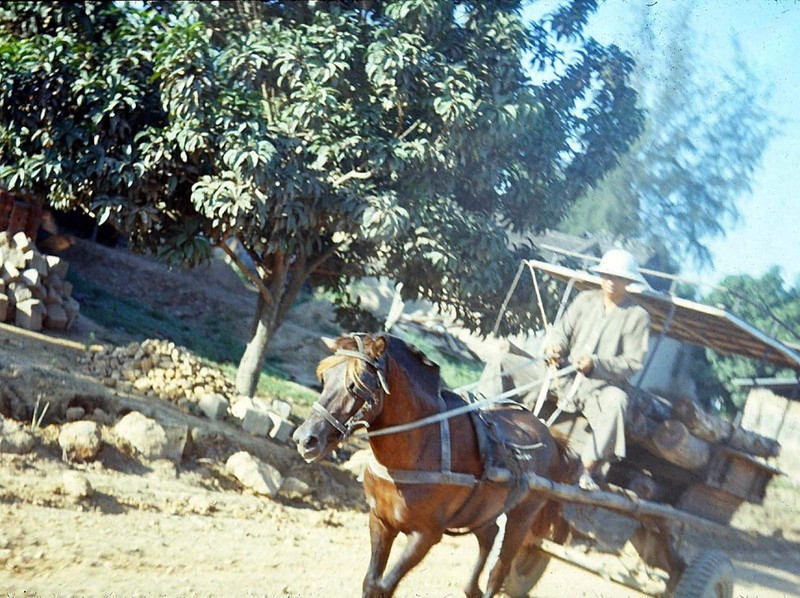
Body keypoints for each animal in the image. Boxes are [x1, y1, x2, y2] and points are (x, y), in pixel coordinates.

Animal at [294, 332, 576, 598]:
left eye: (356, 384)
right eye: (324, 378)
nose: (305, 439)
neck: (420, 445)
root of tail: (549, 435)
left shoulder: (426, 536)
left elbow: (384, 586)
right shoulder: (380, 521)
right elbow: (371, 583)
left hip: (522, 517)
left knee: (499, 570)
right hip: (485, 508)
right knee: (489, 534)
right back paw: (471, 588)